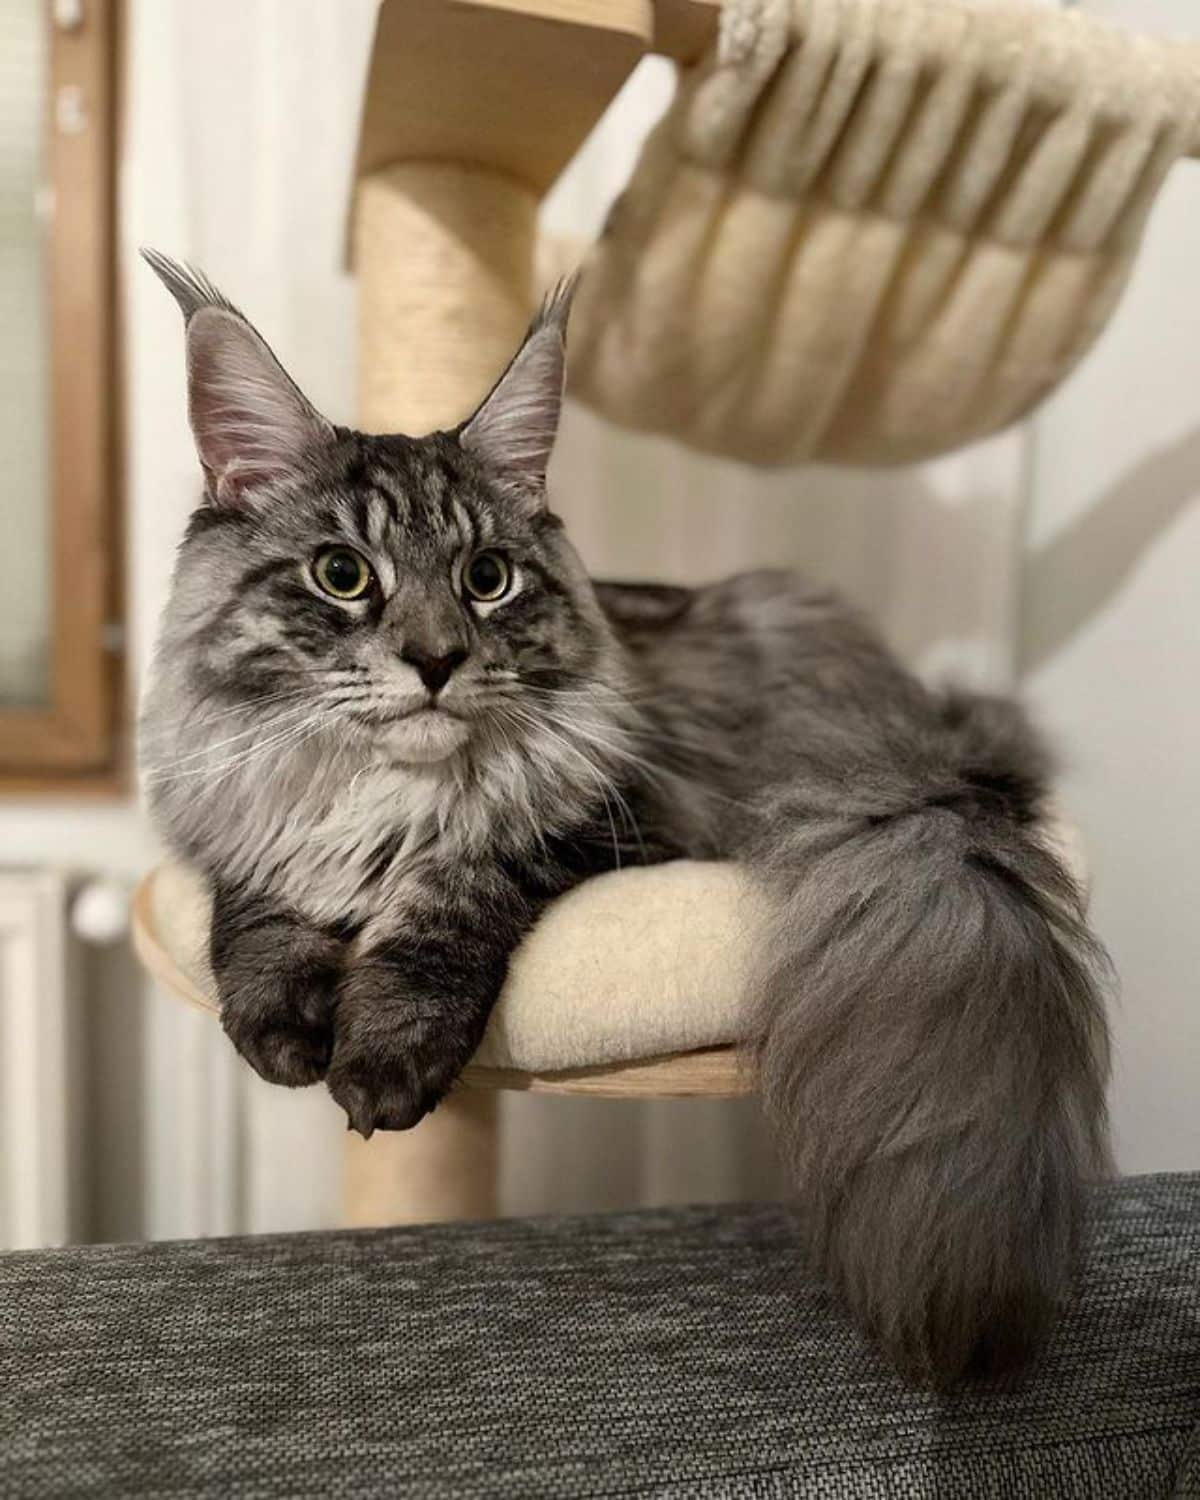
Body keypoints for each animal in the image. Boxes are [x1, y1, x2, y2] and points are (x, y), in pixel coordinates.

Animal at [143, 252, 1116, 1386]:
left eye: (487, 579)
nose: (436, 660)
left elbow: (444, 901)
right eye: (342, 575)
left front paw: (380, 1057)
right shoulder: (232, 816)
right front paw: (279, 1027)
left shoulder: (604, 824)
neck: (389, 795)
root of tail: (917, 717)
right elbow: (256, 912)